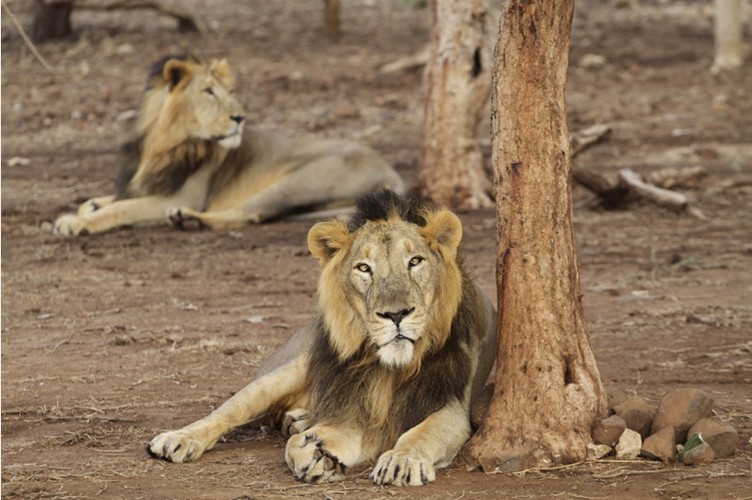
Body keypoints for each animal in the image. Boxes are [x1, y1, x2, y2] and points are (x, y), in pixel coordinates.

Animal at [51, 55, 406, 235]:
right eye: (208, 91)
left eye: (231, 91)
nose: (240, 117)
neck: (160, 142)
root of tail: (394, 173)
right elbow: (105, 201)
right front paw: (88, 207)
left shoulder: (183, 194)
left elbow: (119, 209)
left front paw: (76, 223)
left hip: (296, 182)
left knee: (248, 214)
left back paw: (188, 219)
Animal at [149, 190, 496, 484]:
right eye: (364, 268)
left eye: (415, 262)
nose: (396, 314)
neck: (392, 370)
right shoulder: (357, 411)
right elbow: (293, 444)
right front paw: (315, 454)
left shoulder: (454, 407)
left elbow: (422, 433)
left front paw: (402, 460)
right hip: (285, 372)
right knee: (229, 410)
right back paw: (177, 439)